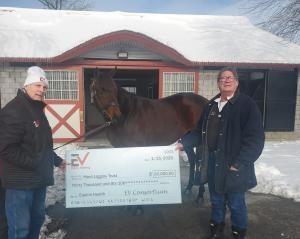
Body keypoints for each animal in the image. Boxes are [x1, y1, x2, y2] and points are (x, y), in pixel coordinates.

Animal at [89, 69, 209, 205]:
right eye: (100, 89)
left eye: (114, 89)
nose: (116, 115)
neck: (128, 114)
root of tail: (207, 102)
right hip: (186, 138)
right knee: (193, 160)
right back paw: (188, 188)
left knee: (200, 162)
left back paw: (200, 195)